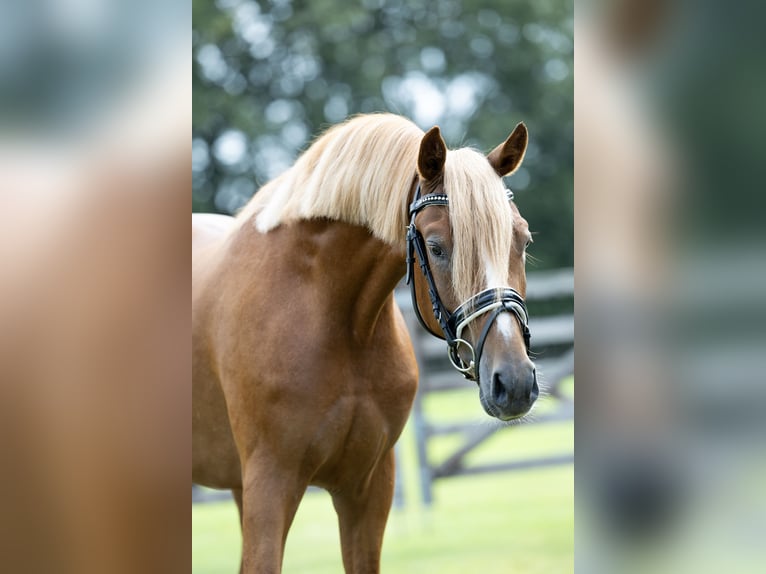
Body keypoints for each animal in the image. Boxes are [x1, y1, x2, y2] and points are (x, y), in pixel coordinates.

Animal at [194, 110, 540, 572]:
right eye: (436, 247)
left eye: (522, 239)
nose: (514, 382)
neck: (338, 322)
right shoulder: (271, 485)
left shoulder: (368, 489)